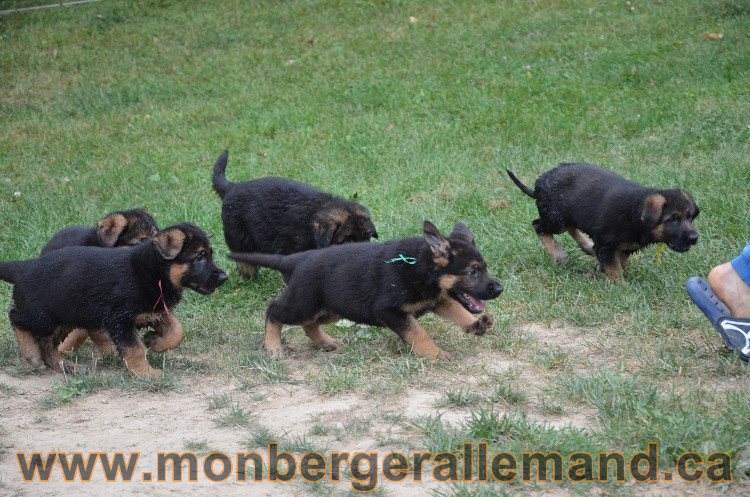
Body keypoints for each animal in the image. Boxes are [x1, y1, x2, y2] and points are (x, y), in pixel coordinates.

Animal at [0, 223, 229, 374]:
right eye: (199, 257)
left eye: (209, 254)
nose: (224, 277)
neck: (153, 271)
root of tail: (23, 267)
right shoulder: (120, 320)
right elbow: (135, 350)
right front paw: (146, 374)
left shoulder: (154, 311)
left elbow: (177, 332)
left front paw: (155, 342)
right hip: (43, 316)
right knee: (15, 316)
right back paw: (32, 354)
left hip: (65, 316)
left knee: (48, 345)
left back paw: (68, 367)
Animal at [508, 163, 704, 280]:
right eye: (672, 219)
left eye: (689, 217)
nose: (694, 238)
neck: (636, 213)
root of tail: (539, 184)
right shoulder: (605, 244)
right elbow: (615, 269)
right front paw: (621, 288)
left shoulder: (624, 247)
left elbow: (620, 262)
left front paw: (599, 270)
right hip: (556, 218)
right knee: (539, 226)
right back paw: (558, 254)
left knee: (571, 227)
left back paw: (586, 245)